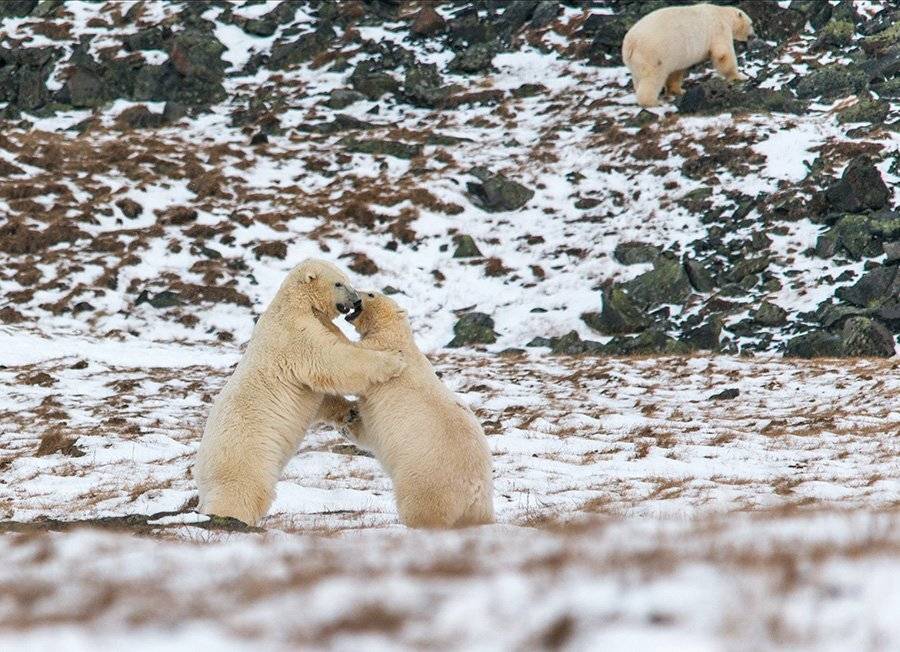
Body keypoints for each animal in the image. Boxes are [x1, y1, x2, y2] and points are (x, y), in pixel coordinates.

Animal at [194, 259, 406, 526]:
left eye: (348, 279)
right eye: (339, 283)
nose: (357, 300)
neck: (295, 304)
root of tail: (200, 472)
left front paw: (350, 413)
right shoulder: (295, 336)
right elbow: (332, 360)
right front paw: (394, 360)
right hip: (245, 455)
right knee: (242, 491)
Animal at [317, 291, 495, 529]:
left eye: (371, 294)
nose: (355, 296)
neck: (396, 334)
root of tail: (474, 490)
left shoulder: (380, 350)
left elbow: (352, 361)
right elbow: (369, 432)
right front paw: (347, 424)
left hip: (426, 481)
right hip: (481, 506)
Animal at [622, 3, 755, 107]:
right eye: (751, 24)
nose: (754, 36)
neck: (722, 14)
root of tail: (630, 43)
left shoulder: (678, 55)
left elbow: (676, 72)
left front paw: (679, 90)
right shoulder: (719, 29)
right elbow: (723, 54)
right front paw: (740, 77)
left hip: (637, 61)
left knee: (638, 77)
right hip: (653, 55)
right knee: (652, 78)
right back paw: (653, 102)